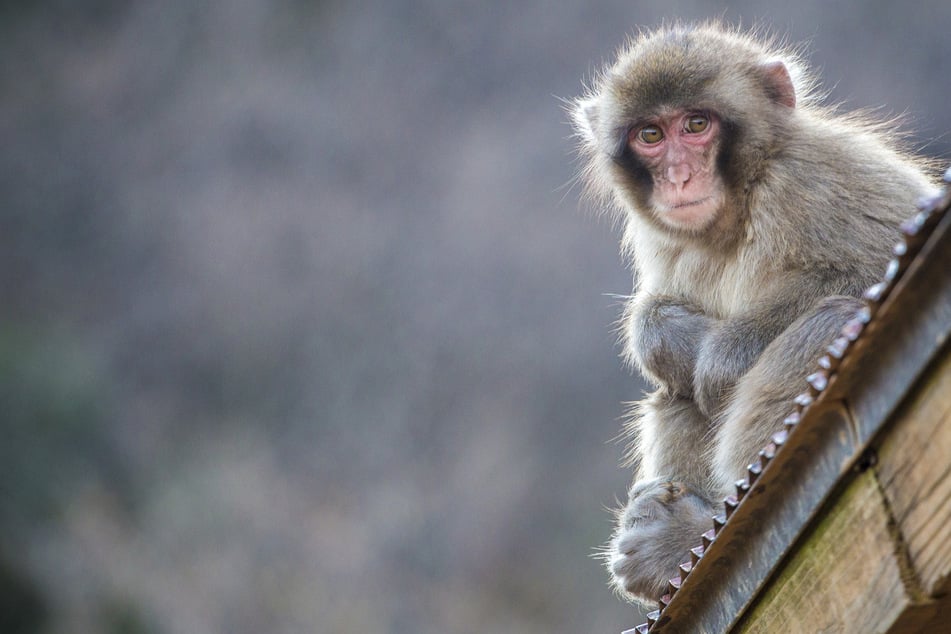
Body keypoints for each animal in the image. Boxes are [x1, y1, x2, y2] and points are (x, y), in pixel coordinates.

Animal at [572, 23, 936, 604]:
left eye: (696, 125)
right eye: (650, 135)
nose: (679, 177)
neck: (739, 202)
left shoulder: (810, 181)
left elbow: (869, 262)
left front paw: (724, 355)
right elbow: (661, 316)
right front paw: (667, 337)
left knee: (832, 320)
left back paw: (686, 539)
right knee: (675, 393)